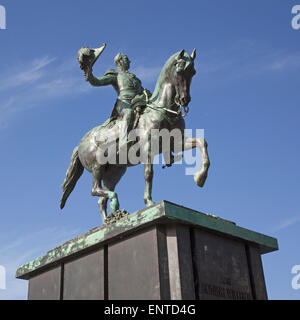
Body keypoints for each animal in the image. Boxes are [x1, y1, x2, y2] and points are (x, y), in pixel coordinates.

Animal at [59, 48, 210, 222]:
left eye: (193, 72)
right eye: (179, 70)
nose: (184, 99)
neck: (163, 110)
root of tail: (80, 145)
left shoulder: (175, 143)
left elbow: (201, 142)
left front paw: (200, 177)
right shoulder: (147, 146)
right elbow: (148, 173)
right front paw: (149, 201)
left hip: (114, 173)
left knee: (100, 200)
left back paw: (110, 219)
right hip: (97, 167)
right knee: (94, 190)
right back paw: (114, 202)